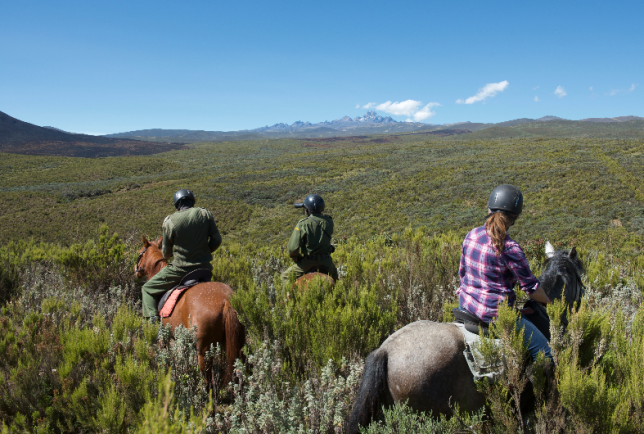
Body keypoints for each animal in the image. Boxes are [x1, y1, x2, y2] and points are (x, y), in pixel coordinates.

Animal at [135, 237, 245, 386]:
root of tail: (225, 300)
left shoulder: (164, 337)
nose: (136, 271)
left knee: (206, 380)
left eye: (140, 253)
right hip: (236, 344)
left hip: (203, 351)